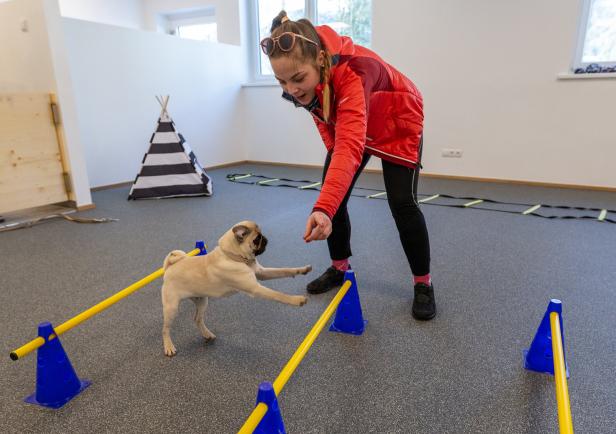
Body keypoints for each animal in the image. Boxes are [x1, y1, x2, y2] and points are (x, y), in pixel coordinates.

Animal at [161, 220, 310, 356]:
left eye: (261, 235)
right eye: (257, 238)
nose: (265, 238)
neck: (234, 257)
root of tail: (170, 267)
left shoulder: (262, 273)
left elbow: (284, 270)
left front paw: (302, 270)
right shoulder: (255, 288)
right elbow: (278, 295)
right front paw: (297, 300)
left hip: (202, 301)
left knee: (197, 319)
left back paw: (207, 334)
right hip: (172, 308)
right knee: (165, 329)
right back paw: (169, 346)